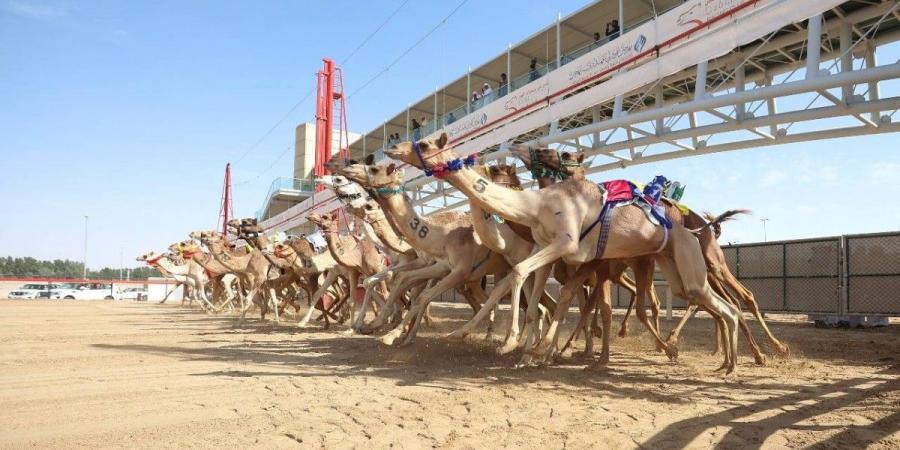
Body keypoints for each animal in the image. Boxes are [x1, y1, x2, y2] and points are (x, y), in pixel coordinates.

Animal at [384, 133, 740, 372]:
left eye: (425, 144)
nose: (390, 150)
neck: (535, 206)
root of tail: (695, 228)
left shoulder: (566, 244)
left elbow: (522, 277)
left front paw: (512, 344)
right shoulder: (547, 249)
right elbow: (535, 301)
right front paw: (524, 352)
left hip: (687, 261)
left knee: (727, 306)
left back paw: (721, 362)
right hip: (673, 266)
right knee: (710, 302)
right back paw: (722, 363)